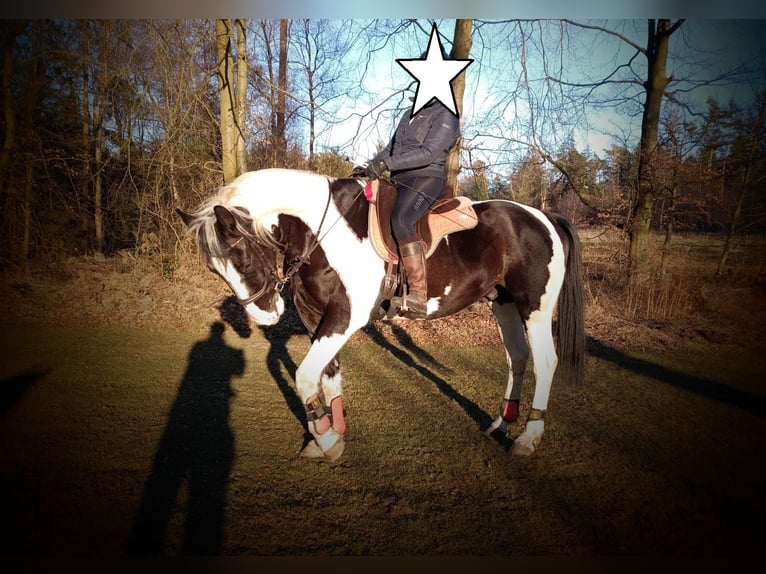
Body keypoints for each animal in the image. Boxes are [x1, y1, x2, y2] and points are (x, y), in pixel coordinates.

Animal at [177, 168, 585, 461]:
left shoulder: (343, 319)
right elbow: (328, 376)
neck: (321, 233)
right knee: (517, 357)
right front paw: (332, 434)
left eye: (242, 258)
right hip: (503, 303)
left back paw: (528, 437)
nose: (265, 316)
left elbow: (305, 376)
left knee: (545, 361)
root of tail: (542, 215)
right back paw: (501, 423)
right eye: (215, 269)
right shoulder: (317, 319)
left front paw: (325, 438)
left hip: (534, 307)